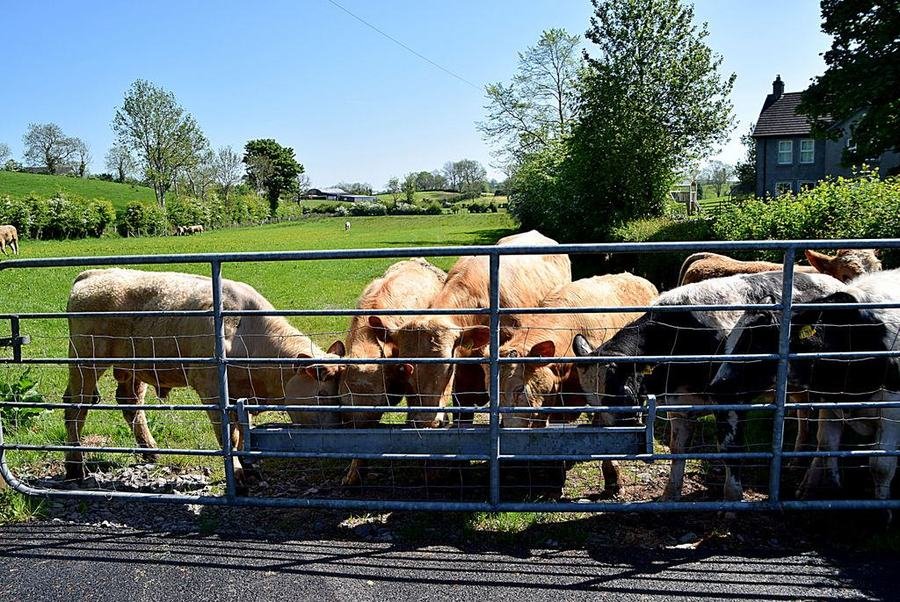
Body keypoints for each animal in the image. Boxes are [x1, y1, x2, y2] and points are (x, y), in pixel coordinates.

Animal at [63, 268, 345, 493]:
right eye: (322, 395)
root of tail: (92, 274)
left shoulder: (241, 394)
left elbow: (242, 431)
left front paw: (249, 466)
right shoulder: (213, 390)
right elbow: (228, 435)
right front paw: (237, 474)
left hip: (133, 367)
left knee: (129, 403)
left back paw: (150, 450)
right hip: (85, 361)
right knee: (75, 408)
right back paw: (75, 466)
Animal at [572, 271, 845, 501]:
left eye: (620, 393)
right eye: (591, 403)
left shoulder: (731, 397)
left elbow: (730, 449)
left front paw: (732, 501)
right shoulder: (679, 402)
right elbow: (678, 447)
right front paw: (669, 495)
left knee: (824, 435)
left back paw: (808, 485)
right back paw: (796, 464)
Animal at [711, 268, 900, 505]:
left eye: (758, 343)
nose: (719, 386)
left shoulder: (892, 412)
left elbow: (881, 466)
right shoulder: (830, 403)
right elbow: (827, 447)